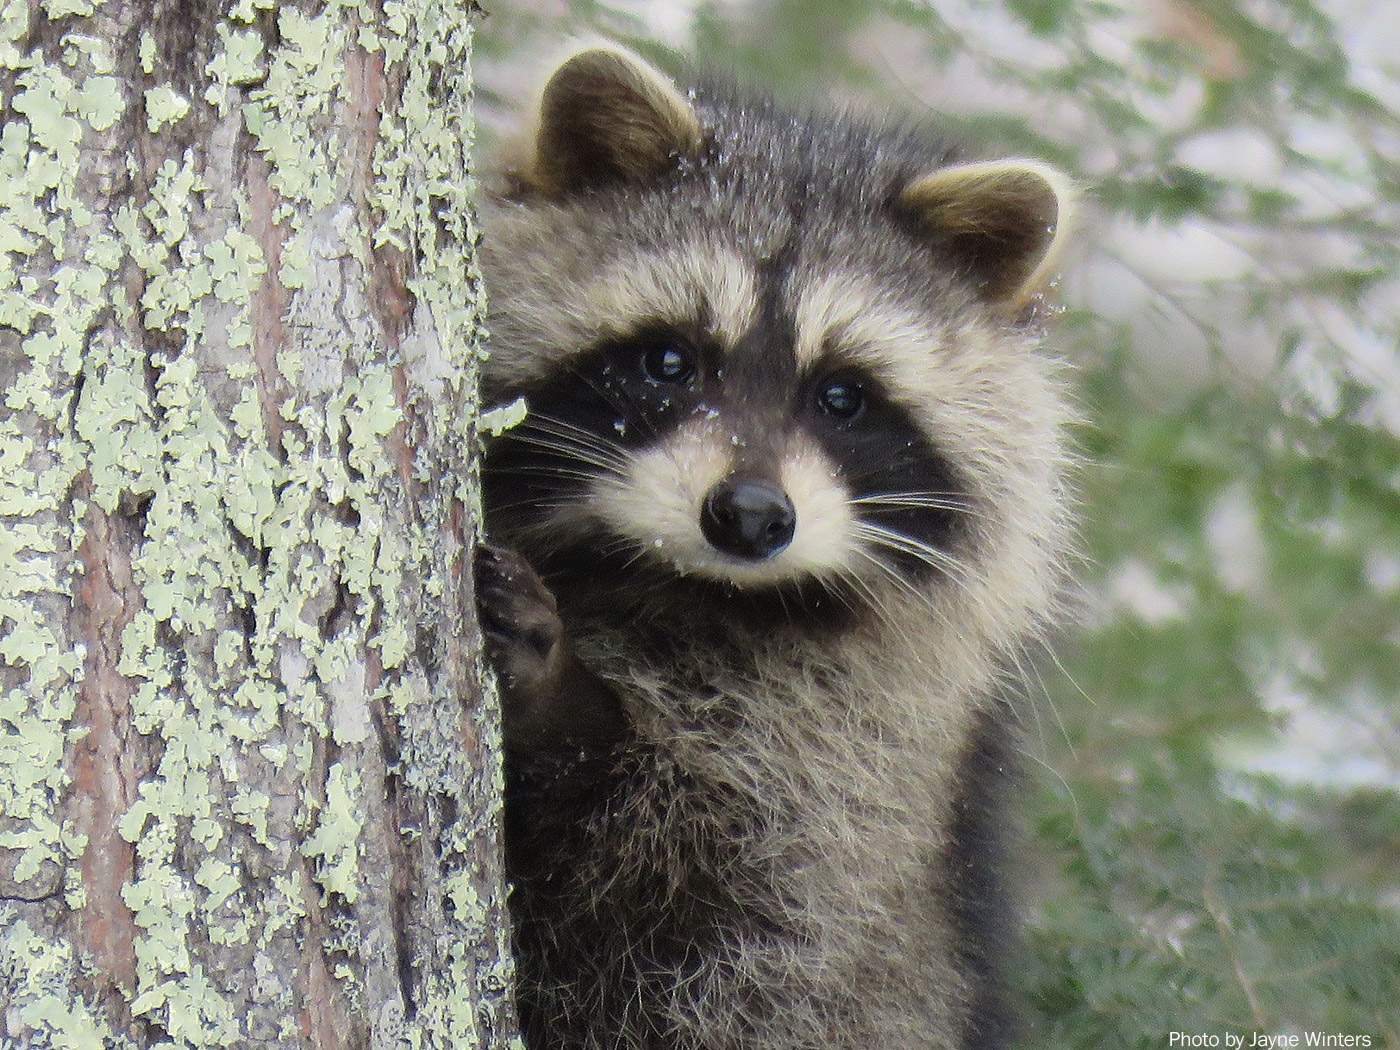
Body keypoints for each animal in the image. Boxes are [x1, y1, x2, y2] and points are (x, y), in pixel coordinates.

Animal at [476, 41, 1075, 1050]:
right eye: (669, 361)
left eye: (842, 396)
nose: (751, 516)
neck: (673, 582)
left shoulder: (856, 758)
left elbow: (698, 880)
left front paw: (555, 693)